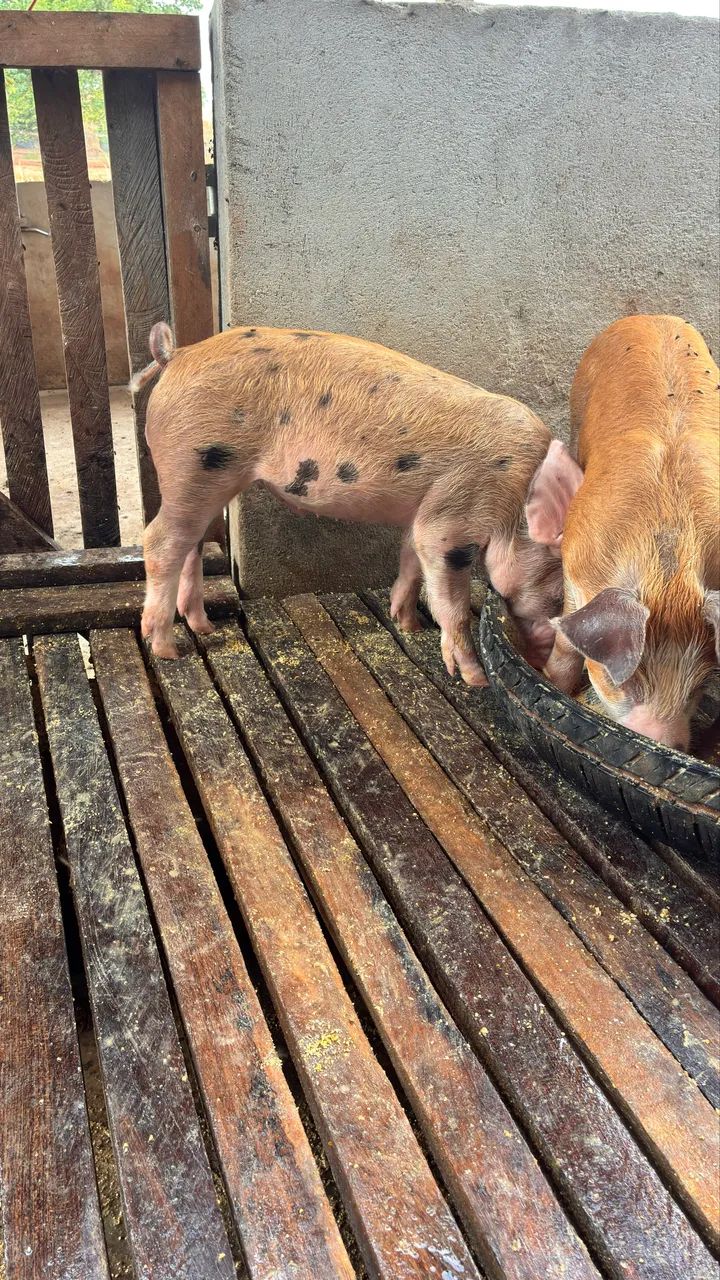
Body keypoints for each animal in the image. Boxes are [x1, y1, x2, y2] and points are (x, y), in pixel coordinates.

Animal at [134, 323, 578, 682]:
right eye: (559, 590)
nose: (540, 660)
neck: (518, 494)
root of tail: (177, 354)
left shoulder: (423, 511)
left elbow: (409, 561)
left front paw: (408, 625)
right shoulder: (454, 517)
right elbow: (450, 599)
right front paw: (476, 679)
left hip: (206, 480)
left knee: (192, 543)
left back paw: (204, 627)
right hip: (196, 464)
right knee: (159, 542)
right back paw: (168, 649)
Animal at [527, 314, 720, 752]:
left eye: (699, 687)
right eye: (627, 683)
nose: (666, 744)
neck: (667, 575)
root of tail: (649, 316)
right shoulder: (576, 575)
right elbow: (566, 645)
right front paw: (554, 684)